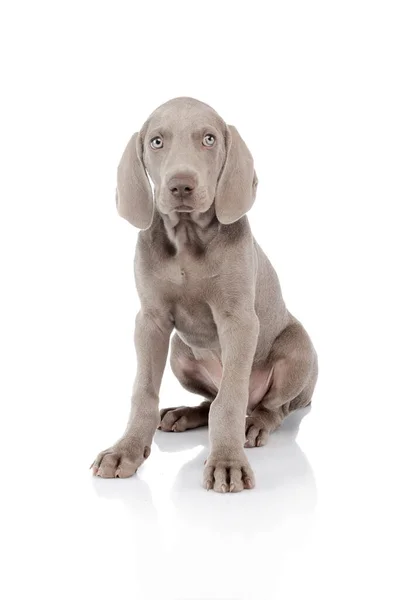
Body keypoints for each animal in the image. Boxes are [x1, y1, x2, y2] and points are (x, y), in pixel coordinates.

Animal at [91, 97, 318, 492]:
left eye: (209, 139)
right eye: (156, 142)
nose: (181, 185)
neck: (187, 238)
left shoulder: (238, 321)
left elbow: (230, 400)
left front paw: (227, 462)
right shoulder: (149, 321)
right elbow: (143, 391)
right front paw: (126, 451)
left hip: (299, 352)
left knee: (270, 406)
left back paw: (254, 424)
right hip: (180, 353)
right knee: (210, 398)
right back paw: (183, 414)